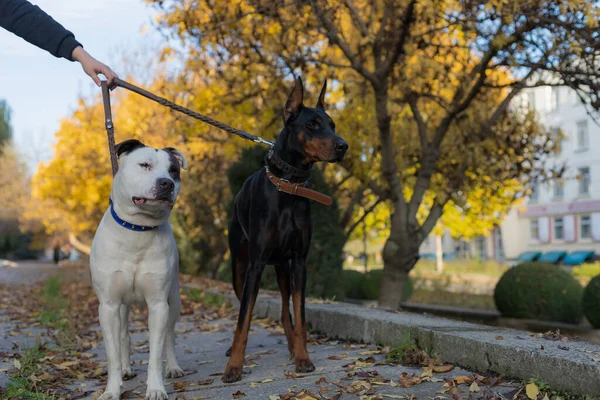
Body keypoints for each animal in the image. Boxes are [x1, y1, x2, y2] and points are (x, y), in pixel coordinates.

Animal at [89, 139, 185, 398]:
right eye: (145, 165)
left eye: (174, 171)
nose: (166, 183)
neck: (138, 229)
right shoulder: (108, 306)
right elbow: (112, 353)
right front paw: (112, 390)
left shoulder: (159, 305)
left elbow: (156, 352)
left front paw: (156, 388)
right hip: (122, 307)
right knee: (124, 335)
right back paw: (125, 369)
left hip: (174, 300)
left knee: (170, 335)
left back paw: (173, 367)